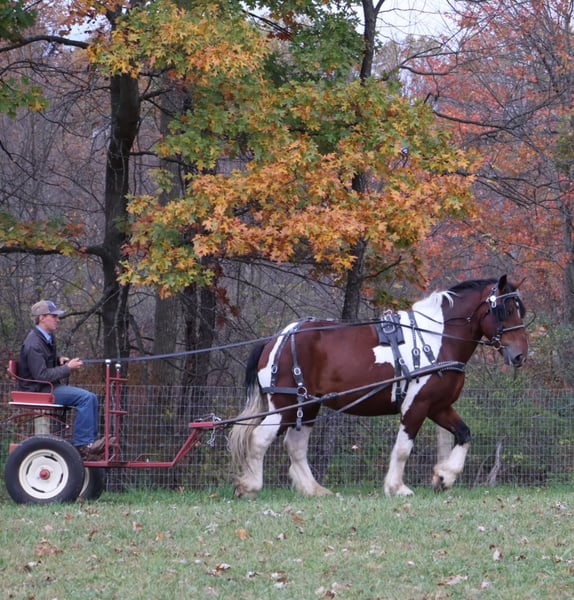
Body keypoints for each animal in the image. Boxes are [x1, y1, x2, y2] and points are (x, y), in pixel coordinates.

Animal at [229, 275, 528, 498]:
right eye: (505, 310)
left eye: (519, 310)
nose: (520, 356)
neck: (437, 339)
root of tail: (276, 339)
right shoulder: (417, 405)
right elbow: (404, 447)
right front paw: (397, 487)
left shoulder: (438, 406)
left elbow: (464, 434)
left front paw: (444, 476)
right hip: (285, 405)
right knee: (259, 439)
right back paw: (250, 486)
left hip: (309, 405)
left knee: (295, 446)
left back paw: (314, 489)